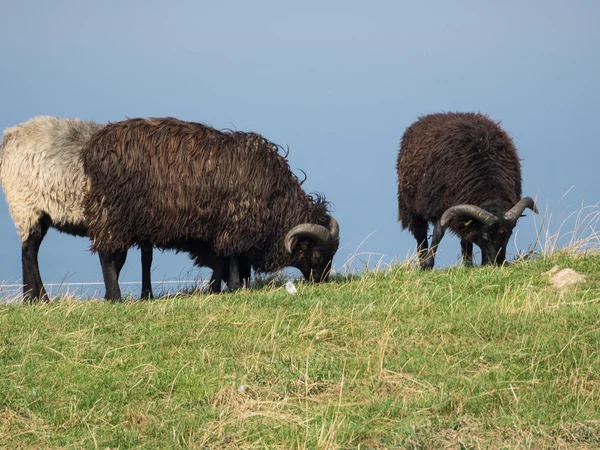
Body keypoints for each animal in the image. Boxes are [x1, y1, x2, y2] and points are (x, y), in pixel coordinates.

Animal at [82, 118, 340, 300]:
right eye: (317, 254)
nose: (321, 281)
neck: (277, 202)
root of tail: (93, 148)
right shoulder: (236, 223)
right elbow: (232, 257)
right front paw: (235, 287)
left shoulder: (217, 229)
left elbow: (221, 261)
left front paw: (215, 289)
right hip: (112, 213)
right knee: (107, 254)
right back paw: (115, 297)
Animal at [396, 111, 536, 268]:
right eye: (485, 236)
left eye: (508, 234)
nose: (498, 263)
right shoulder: (441, 206)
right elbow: (438, 233)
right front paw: (427, 265)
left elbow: (466, 238)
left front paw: (476, 264)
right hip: (410, 207)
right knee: (420, 236)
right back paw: (422, 261)